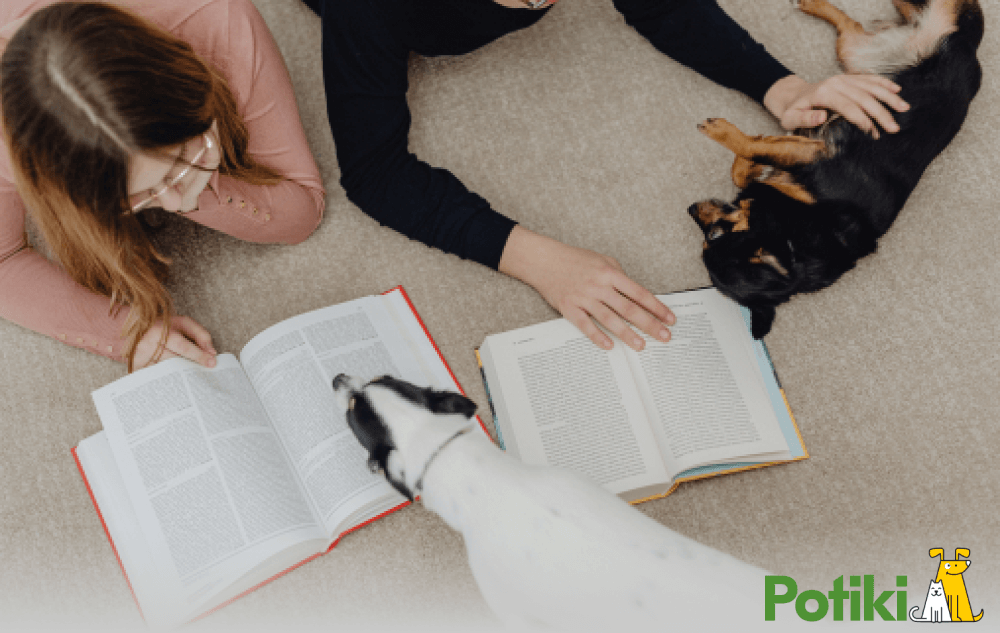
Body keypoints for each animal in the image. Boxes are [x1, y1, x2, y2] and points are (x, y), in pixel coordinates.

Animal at [692, 0, 980, 338]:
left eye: (713, 236)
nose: (690, 209)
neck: (791, 236)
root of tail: (963, 45)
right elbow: (748, 163)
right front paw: (752, 163)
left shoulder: (812, 153)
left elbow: (752, 149)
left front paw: (724, 134)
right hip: (852, 50)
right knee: (851, 23)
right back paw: (814, 4)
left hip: (930, 28)